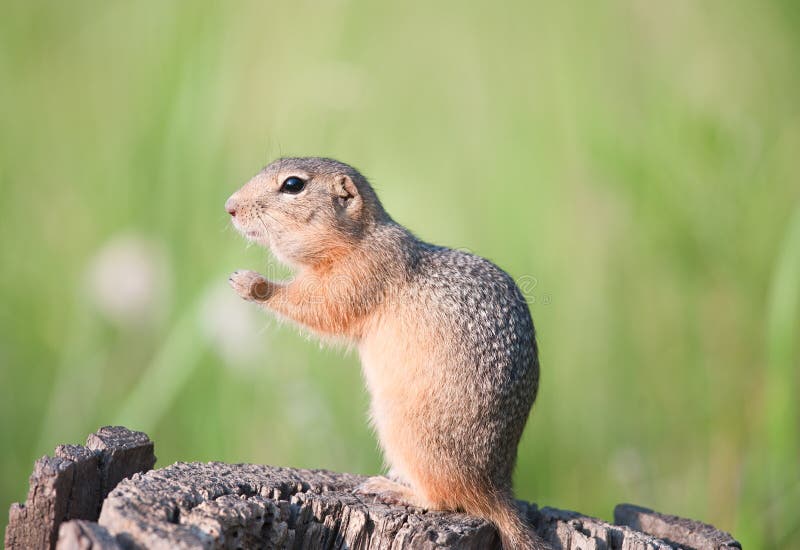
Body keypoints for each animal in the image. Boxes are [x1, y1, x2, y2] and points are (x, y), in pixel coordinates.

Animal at [225, 157, 544, 548]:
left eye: (293, 185)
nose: (230, 207)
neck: (358, 239)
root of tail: (497, 489)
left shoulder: (358, 277)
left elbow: (319, 307)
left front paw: (252, 284)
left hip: (405, 429)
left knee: (446, 500)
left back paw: (393, 489)